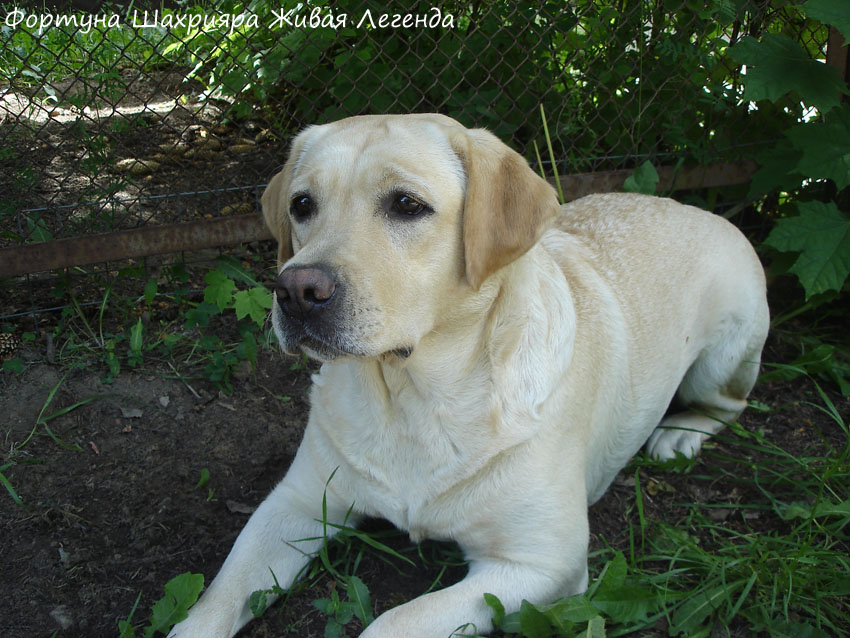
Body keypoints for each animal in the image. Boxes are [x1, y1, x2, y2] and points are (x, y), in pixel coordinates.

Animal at [167, 115, 768, 638]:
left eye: (406, 205)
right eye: (301, 204)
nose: (294, 290)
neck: (412, 398)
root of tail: (697, 208)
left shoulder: (539, 564)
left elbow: (395, 621)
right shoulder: (295, 504)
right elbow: (216, 597)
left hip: (725, 356)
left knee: (729, 406)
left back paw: (680, 434)